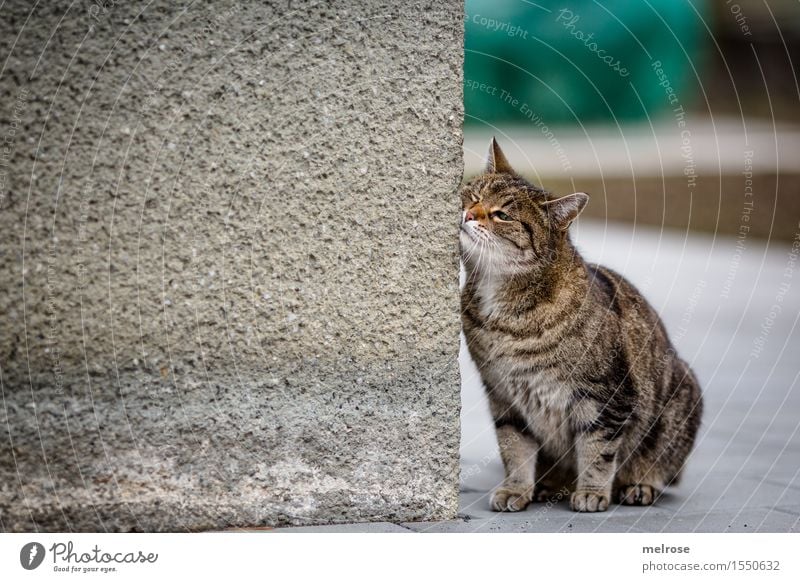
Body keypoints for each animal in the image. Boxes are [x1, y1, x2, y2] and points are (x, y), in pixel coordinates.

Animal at [460, 139, 704, 512]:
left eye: (502, 214)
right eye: (473, 195)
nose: (469, 214)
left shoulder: (606, 396)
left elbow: (597, 451)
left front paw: (591, 492)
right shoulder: (504, 396)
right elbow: (514, 448)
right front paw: (516, 488)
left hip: (682, 397)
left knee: (657, 465)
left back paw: (638, 485)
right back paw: (548, 485)